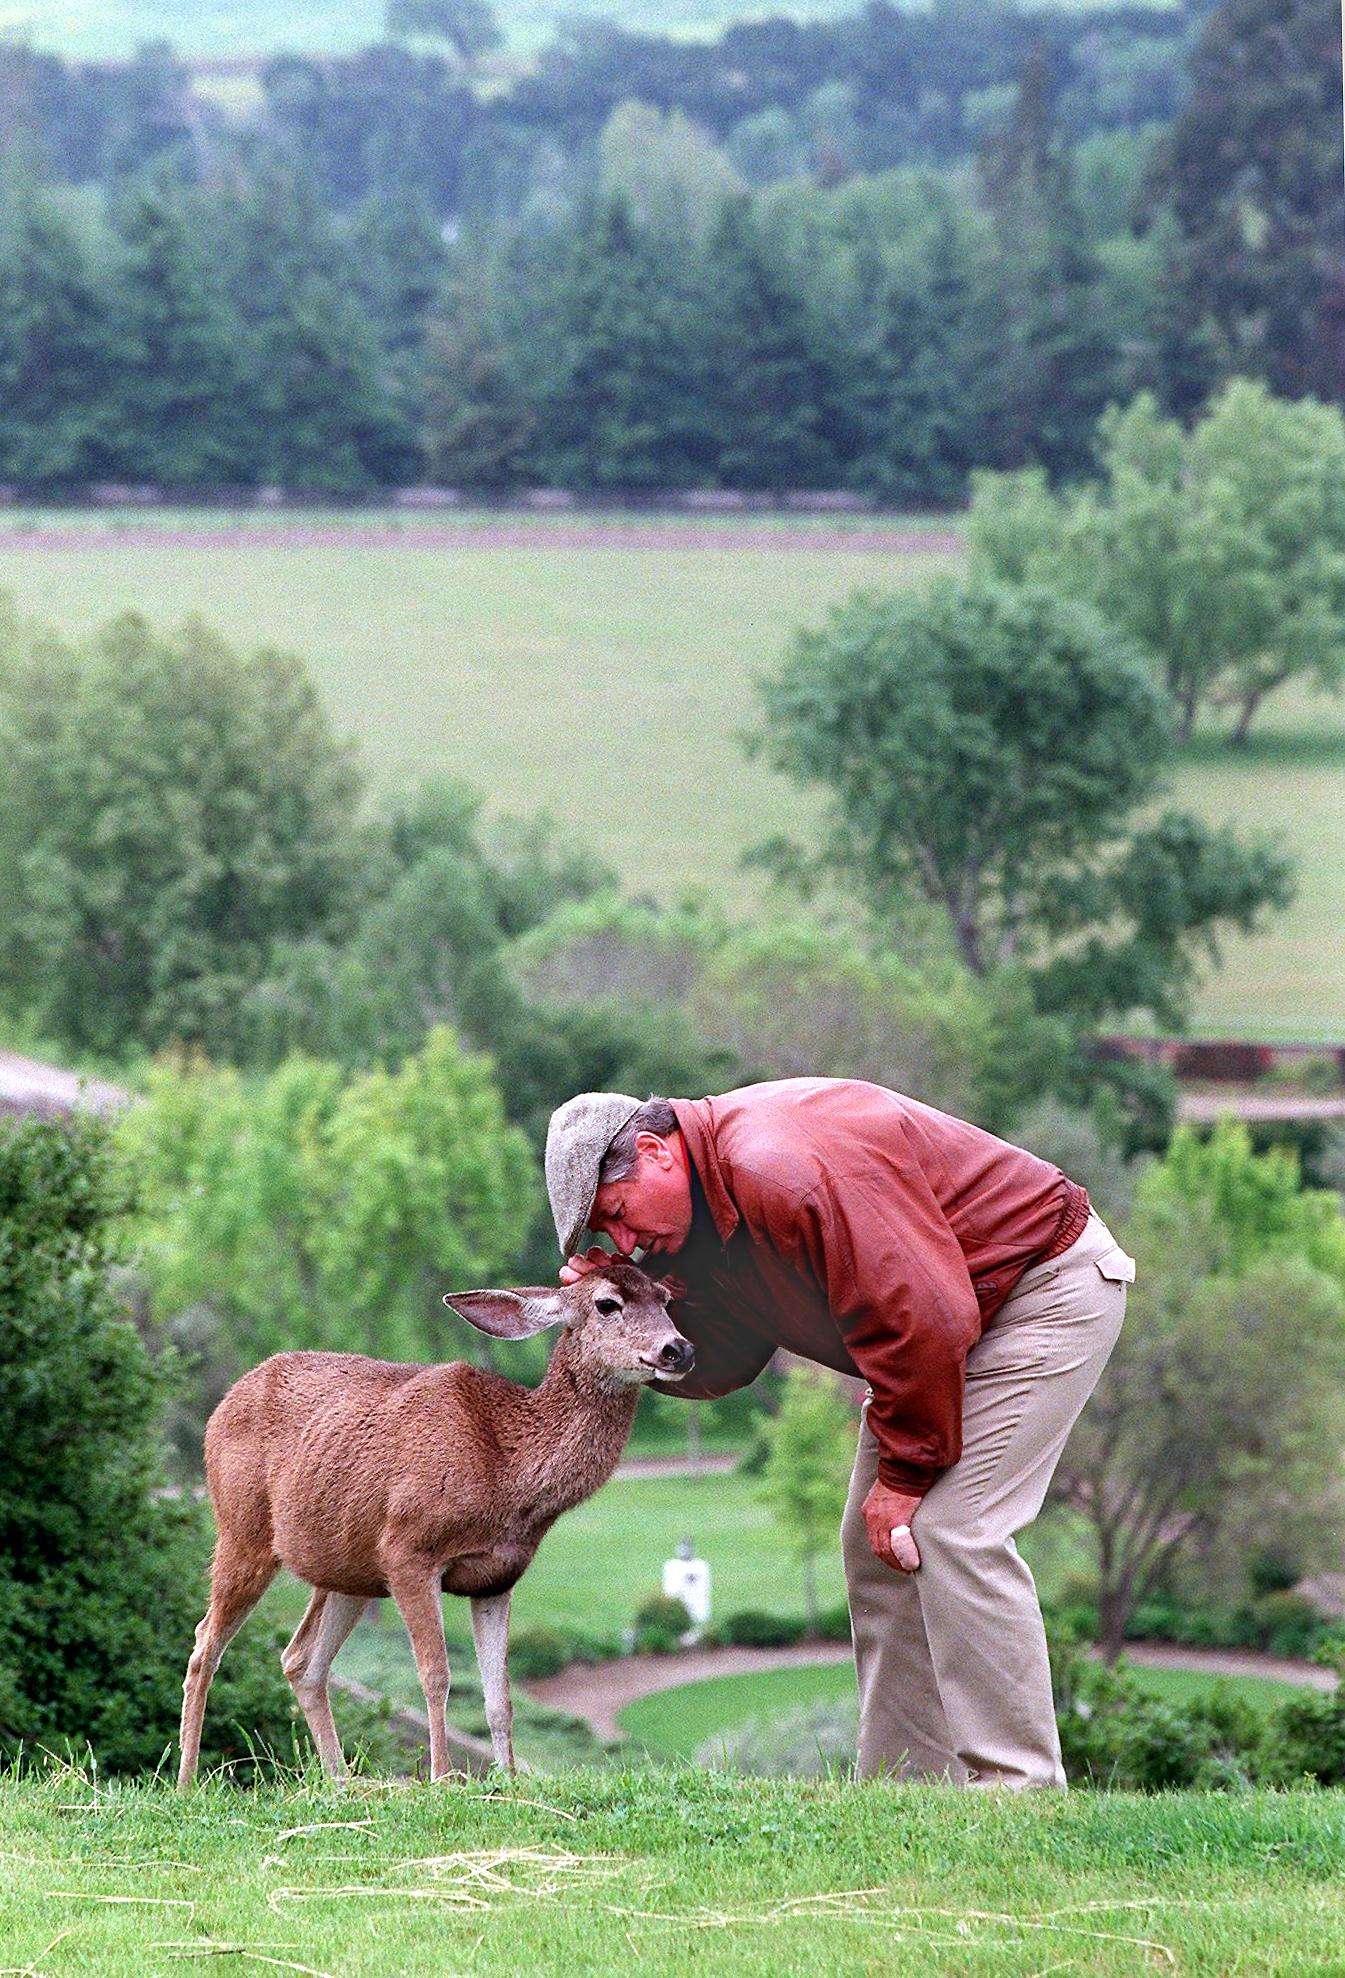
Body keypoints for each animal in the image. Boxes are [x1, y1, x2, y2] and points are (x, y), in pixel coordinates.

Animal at [177, 1259, 693, 1787]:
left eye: (664, 1297)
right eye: (607, 1303)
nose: (678, 1349)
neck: (507, 1469)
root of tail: (220, 1407)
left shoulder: (497, 1577)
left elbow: (499, 1697)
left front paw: (508, 1781)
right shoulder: (409, 1550)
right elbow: (435, 1674)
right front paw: (443, 1778)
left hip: (347, 1568)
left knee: (300, 1660)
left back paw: (340, 1782)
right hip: (243, 1529)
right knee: (205, 1643)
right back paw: (187, 1780)